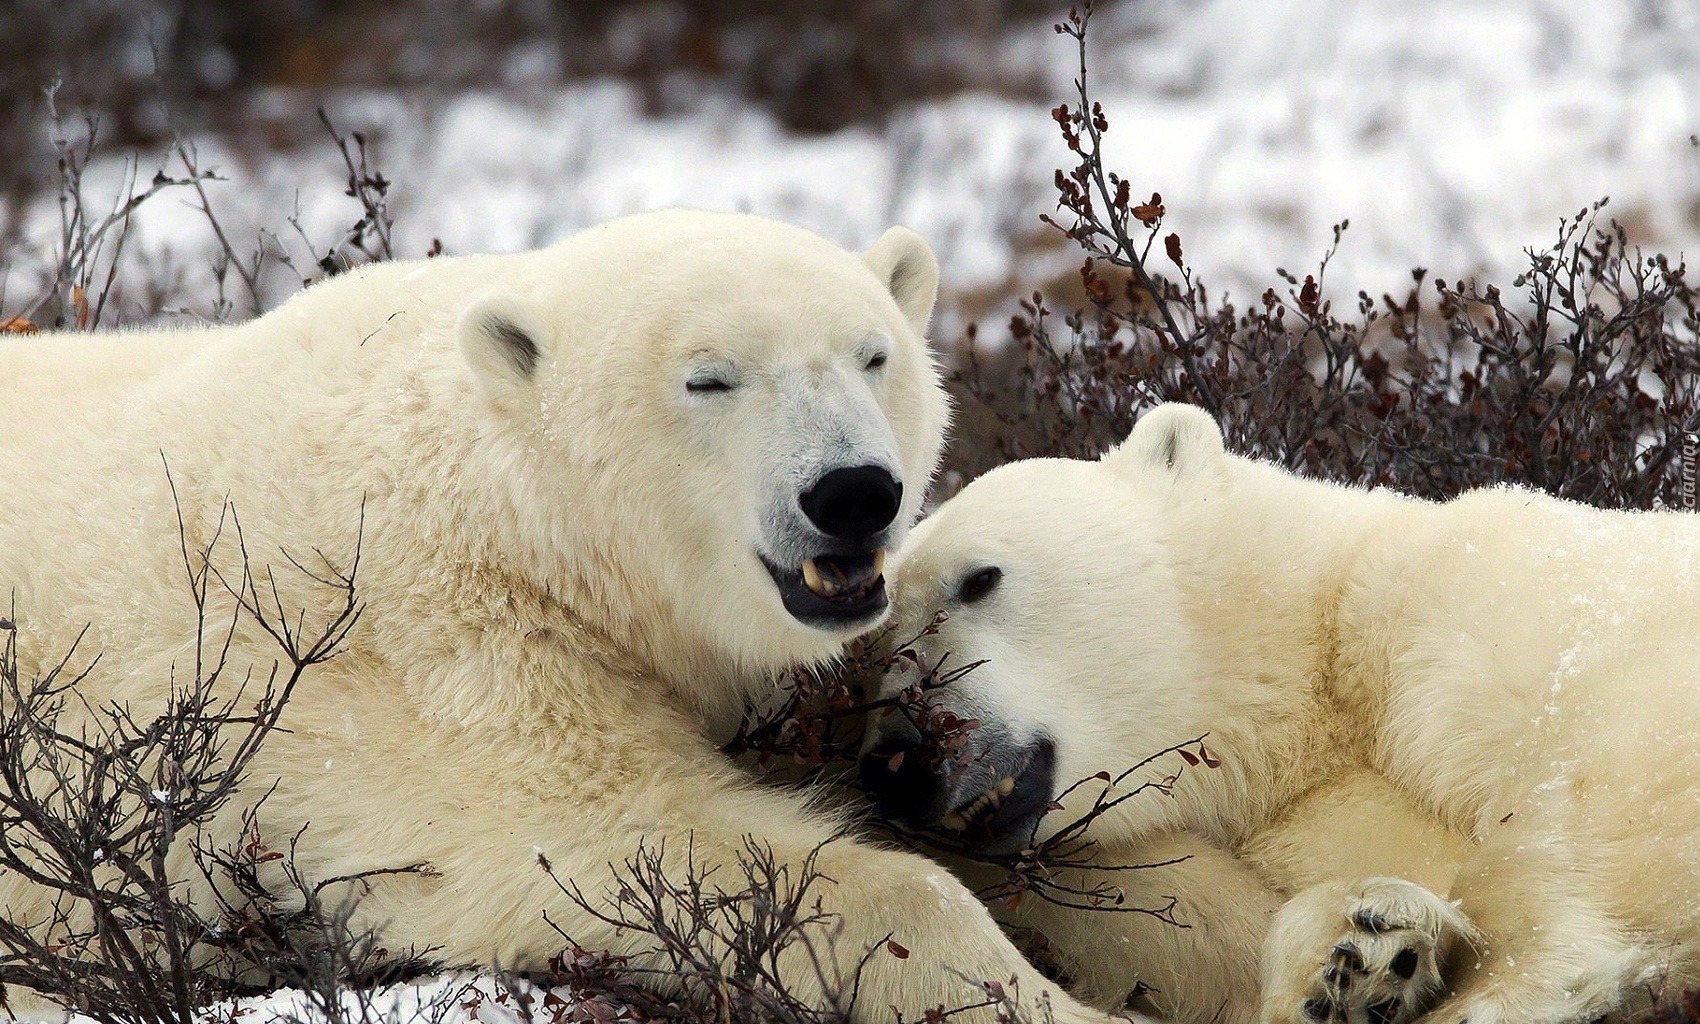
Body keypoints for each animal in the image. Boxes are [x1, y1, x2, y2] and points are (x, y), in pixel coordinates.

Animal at [863, 401, 1700, 1024]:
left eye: (979, 579)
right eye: (876, 645)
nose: (897, 761)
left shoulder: (1490, 600)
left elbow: (1599, 777)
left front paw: (1494, 985)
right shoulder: (1309, 815)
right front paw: (1360, 963)